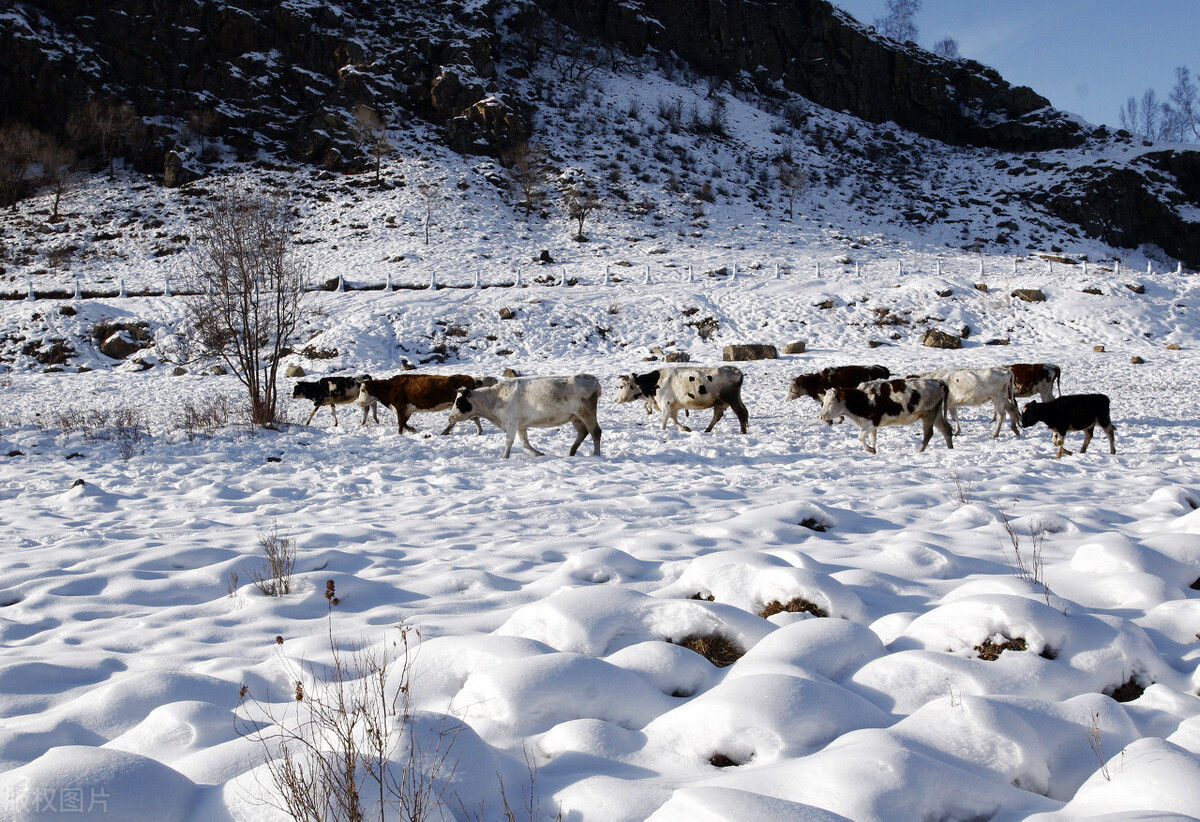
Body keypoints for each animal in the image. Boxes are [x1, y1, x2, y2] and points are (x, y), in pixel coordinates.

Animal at [355, 374, 492, 436]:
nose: (359, 403)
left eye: (363, 390)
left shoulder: (401, 408)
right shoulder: (407, 410)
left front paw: (402, 433)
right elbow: (403, 423)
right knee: (473, 418)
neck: (390, 388)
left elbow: (401, 424)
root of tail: (470, 379)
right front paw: (411, 430)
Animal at [448, 374, 604, 458]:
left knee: (595, 431)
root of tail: (593, 380)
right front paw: (538, 454)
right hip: (575, 417)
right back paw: (572, 452)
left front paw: (504, 457)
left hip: (587, 413)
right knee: (583, 432)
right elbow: (525, 443)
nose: (450, 418)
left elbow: (508, 441)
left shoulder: (511, 423)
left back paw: (596, 454)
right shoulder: (520, 425)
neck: (495, 398)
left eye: (459, 402)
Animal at [614, 362, 744, 432]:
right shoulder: (673, 407)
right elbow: (674, 420)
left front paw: (662, 431)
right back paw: (707, 430)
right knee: (717, 415)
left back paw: (742, 431)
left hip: (732, 399)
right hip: (721, 402)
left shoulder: (665, 403)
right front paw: (684, 428)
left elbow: (664, 420)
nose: (615, 399)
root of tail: (736, 371)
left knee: (742, 413)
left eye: (620, 386)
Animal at [816, 379, 955, 456]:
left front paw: (870, 450)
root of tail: (939, 382)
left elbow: (860, 436)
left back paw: (920, 451)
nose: (821, 416)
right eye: (823, 402)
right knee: (946, 430)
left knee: (928, 434)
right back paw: (950, 449)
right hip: (936, 414)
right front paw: (873, 450)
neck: (863, 398)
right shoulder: (869, 424)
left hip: (929, 414)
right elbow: (872, 438)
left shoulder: (874, 421)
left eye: (831, 402)